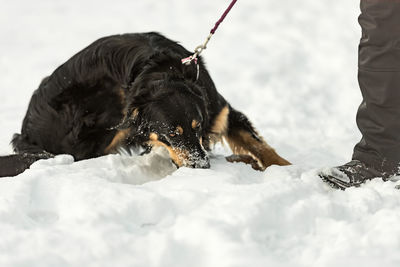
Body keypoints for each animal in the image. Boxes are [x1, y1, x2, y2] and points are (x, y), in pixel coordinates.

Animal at [0, 32, 290, 178]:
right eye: (173, 133)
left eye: (197, 127)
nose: (202, 167)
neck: (165, 72)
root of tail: (25, 134)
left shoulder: (221, 112)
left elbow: (260, 146)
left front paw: (289, 169)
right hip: (102, 122)